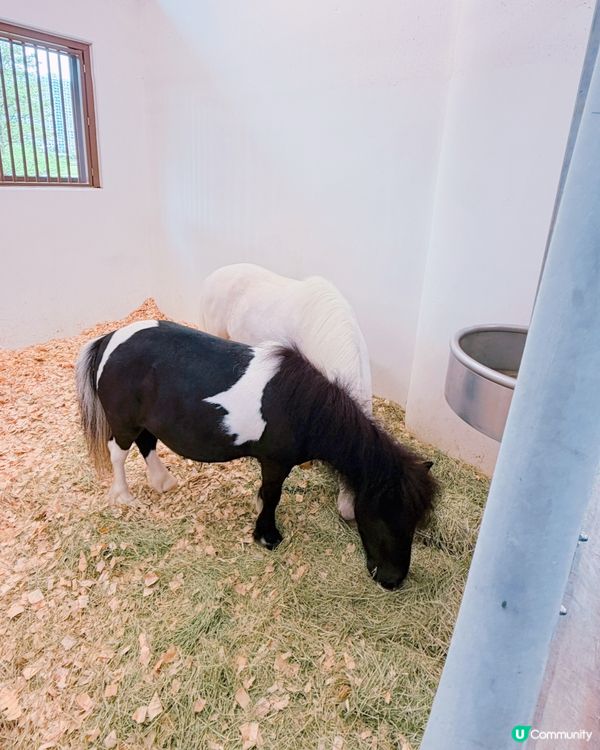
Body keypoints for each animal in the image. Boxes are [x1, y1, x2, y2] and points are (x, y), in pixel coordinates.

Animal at [75, 319, 436, 590]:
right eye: (383, 516)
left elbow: (266, 493)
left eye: (414, 521)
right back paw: (123, 497)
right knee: (119, 453)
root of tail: (109, 339)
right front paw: (267, 535)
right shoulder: (275, 462)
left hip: (145, 422)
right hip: (124, 422)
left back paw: (163, 481)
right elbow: (273, 495)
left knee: (147, 443)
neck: (302, 408)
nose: (393, 581)